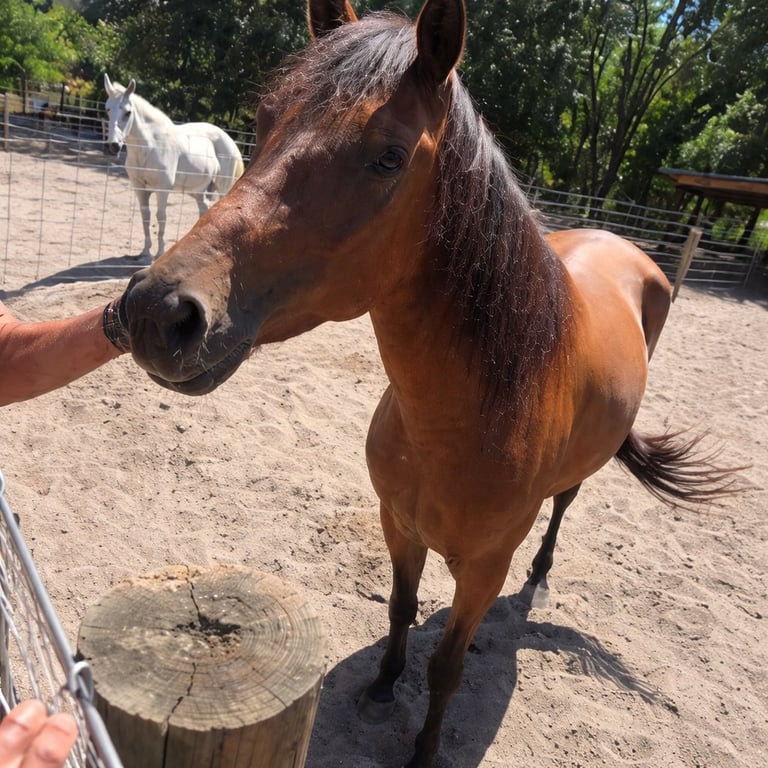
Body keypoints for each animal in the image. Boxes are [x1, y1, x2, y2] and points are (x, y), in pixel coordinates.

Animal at [103, 74, 245, 259]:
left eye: (128, 112)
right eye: (107, 109)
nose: (113, 146)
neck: (149, 147)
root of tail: (230, 141)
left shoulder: (163, 190)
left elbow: (161, 216)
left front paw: (159, 253)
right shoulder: (140, 190)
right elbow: (145, 216)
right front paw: (145, 252)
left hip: (223, 188)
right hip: (198, 191)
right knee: (204, 209)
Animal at [119, 1, 740, 765]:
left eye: (388, 155)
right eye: (264, 123)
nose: (158, 311)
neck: (461, 425)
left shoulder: (484, 570)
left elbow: (446, 666)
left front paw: (423, 747)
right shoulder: (398, 525)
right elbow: (401, 609)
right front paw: (383, 684)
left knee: (566, 504)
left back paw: (542, 576)